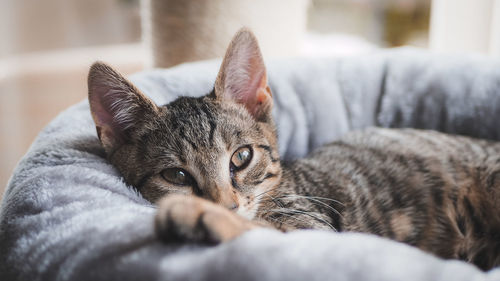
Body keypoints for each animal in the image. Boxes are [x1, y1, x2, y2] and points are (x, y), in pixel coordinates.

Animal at [88, 28, 500, 270]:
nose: (227, 205)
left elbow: (264, 232)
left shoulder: (314, 229)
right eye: (176, 174)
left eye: (241, 157)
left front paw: (203, 217)